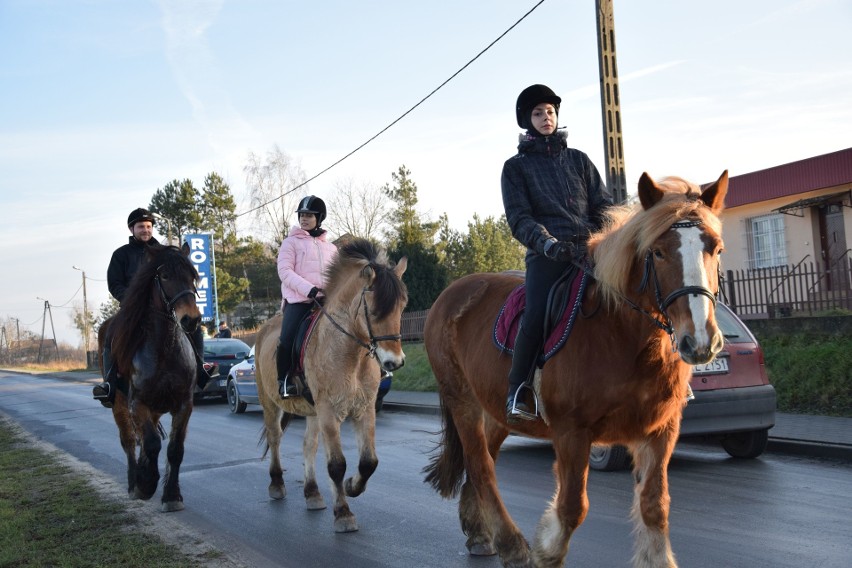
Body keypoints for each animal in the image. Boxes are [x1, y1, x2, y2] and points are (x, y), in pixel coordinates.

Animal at [96, 243, 201, 510]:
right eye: (164, 276)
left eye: (192, 276)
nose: (191, 319)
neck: (164, 350)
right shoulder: (137, 403)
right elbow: (152, 443)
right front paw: (145, 484)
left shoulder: (184, 404)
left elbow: (174, 449)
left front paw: (171, 495)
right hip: (119, 405)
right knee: (129, 441)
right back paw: (135, 482)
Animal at [255, 239, 408, 532]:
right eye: (373, 309)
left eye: (402, 306)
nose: (394, 362)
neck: (350, 354)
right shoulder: (329, 411)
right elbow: (336, 464)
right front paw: (343, 514)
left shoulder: (364, 409)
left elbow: (369, 462)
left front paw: (351, 487)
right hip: (270, 403)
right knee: (275, 438)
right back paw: (276, 484)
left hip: (312, 412)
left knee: (308, 445)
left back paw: (312, 493)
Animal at [422, 173, 728, 568]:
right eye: (658, 252)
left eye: (716, 249)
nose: (700, 341)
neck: (623, 334)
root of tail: (451, 293)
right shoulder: (572, 432)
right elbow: (571, 507)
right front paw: (546, 552)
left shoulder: (661, 430)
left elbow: (655, 506)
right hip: (462, 402)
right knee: (480, 466)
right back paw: (512, 545)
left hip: (496, 410)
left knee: (485, 459)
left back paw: (479, 532)